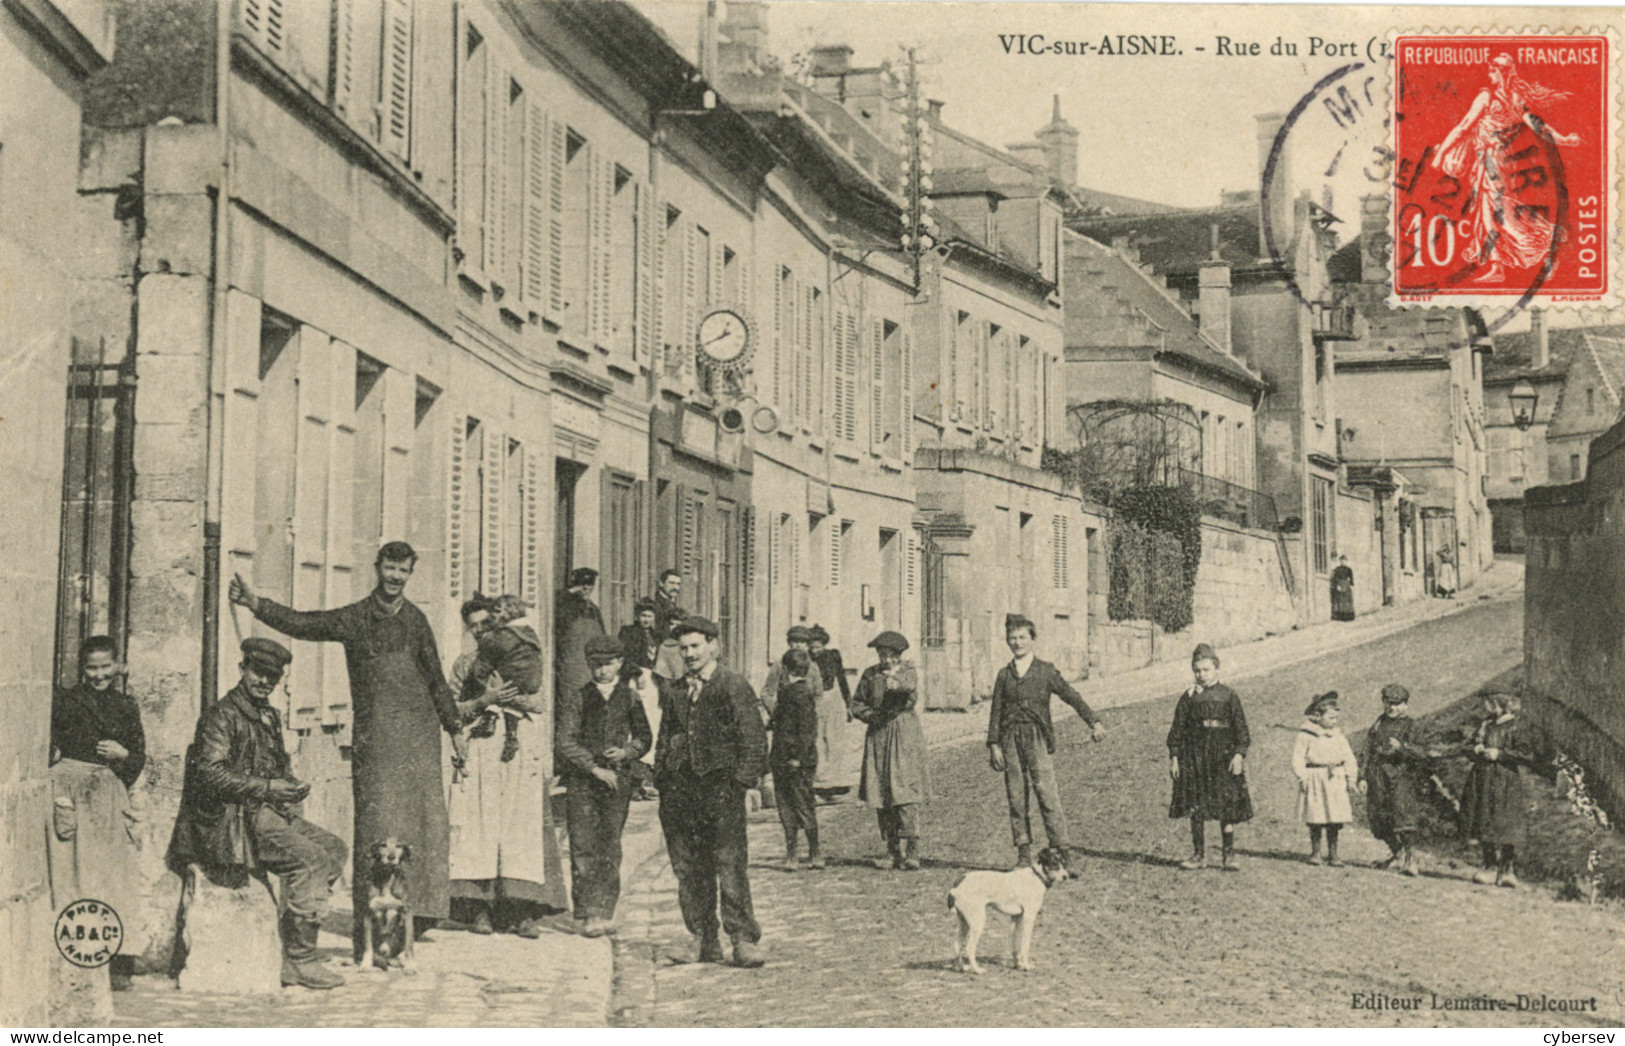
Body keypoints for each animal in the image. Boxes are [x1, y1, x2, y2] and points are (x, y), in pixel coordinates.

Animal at [362, 831, 416, 974]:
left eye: (399, 846)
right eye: (383, 845)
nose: (391, 857)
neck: (386, 876)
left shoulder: (407, 911)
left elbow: (409, 945)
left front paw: (410, 965)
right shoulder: (368, 912)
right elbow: (368, 945)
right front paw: (365, 964)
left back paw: (396, 960)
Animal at [949, 844, 1072, 974]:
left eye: (1064, 863)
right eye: (1054, 863)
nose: (1066, 876)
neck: (1037, 876)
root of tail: (957, 884)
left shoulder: (1017, 918)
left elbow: (1016, 945)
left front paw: (1018, 965)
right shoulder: (1029, 917)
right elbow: (1025, 946)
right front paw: (1026, 966)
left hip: (965, 923)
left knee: (957, 945)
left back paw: (962, 967)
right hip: (978, 923)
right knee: (969, 947)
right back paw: (977, 969)